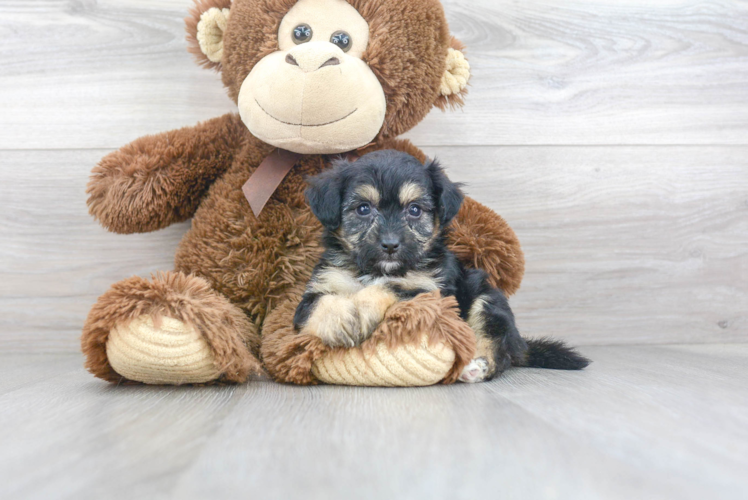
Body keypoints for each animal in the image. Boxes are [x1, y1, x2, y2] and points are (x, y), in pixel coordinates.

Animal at [294, 149, 592, 382]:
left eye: (414, 210)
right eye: (363, 209)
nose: (390, 245)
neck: (376, 269)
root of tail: (521, 344)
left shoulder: (431, 292)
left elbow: (392, 287)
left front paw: (364, 307)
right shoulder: (318, 287)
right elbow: (319, 304)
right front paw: (341, 320)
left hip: (487, 302)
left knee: (499, 350)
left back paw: (475, 367)